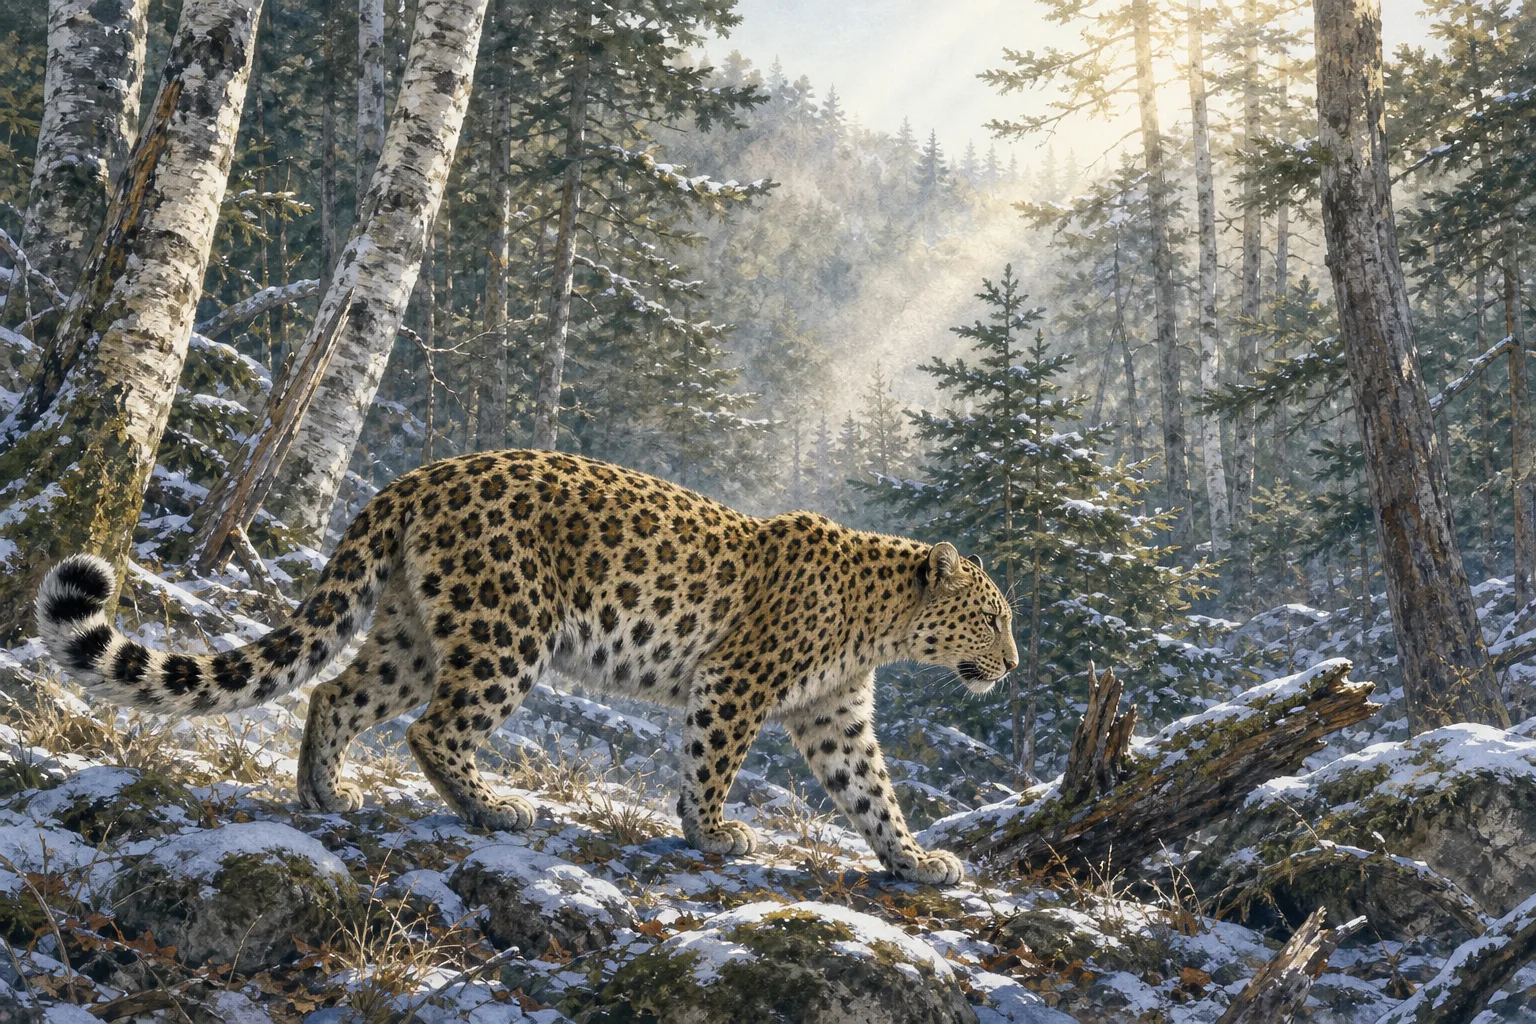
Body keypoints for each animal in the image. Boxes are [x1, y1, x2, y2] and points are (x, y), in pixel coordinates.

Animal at [36, 449, 1017, 884]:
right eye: (993, 617)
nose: (1010, 663)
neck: (882, 624)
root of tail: (416, 478)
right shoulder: (735, 682)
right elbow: (711, 762)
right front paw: (711, 835)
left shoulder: (834, 714)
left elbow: (872, 792)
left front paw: (915, 860)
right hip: (510, 629)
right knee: (435, 728)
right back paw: (492, 807)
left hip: (411, 632)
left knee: (337, 691)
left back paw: (323, 793)